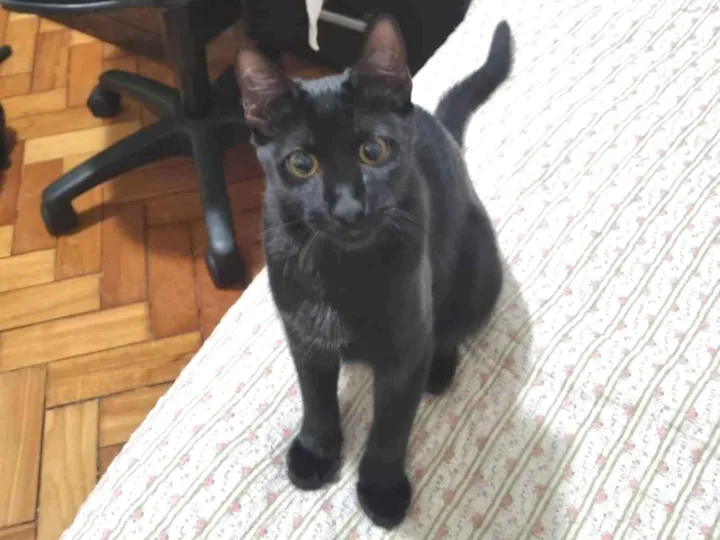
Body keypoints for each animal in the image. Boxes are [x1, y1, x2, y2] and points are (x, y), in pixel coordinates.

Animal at [235, 15, 513, 529]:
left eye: (373, 151)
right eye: (301, 163)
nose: (348, 208)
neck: (340, 270)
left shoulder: (405, 349)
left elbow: (391, 426)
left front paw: (382, 490)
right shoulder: (304, 336)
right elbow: (316, 398)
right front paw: (316, 452)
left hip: (480, 268)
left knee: (452, 326)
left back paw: (440, 368)